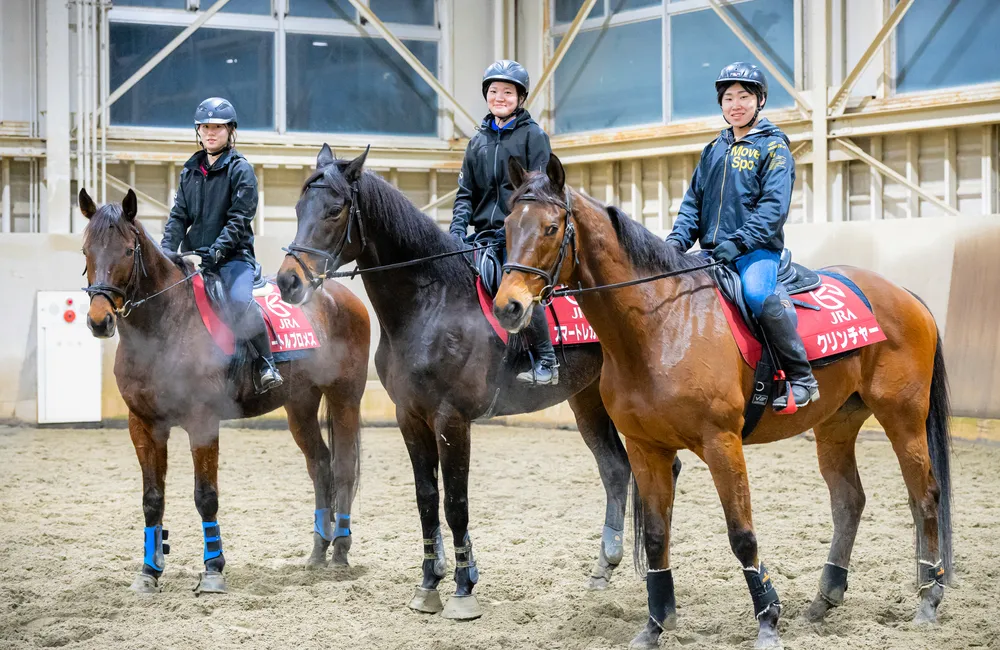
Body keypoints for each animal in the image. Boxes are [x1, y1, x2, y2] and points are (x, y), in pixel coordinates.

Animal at [80, 188, 371, 594]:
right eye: (86, 251)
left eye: (126, 251)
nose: (99, 320)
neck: (165, 325)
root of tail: (339, 294)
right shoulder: (144, 424)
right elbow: (152, 499)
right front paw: (149, 571)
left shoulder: (202, 422)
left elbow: (206, 496)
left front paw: (213, 570)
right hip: (300, 404)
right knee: (320, 465)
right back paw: (318, 550)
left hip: (345, 397)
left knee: (343, 465)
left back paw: (340, 550)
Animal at [273, 145, 654, 620]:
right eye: (298, 207)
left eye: (335, 209)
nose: (288, 281)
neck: (432, 304)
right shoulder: (410, 417)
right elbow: (426, 499)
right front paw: (428, 583)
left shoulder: (451, 420)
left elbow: (455, 503)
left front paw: (461, 589)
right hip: (586, 398)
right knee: (615, 469)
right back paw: (604, 568)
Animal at [492, 155, 953, 649]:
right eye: (507, 226)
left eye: (551, 228)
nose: (508, 306)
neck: (661, 326)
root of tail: (906, 297)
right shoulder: (646, 449)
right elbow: (655, 536)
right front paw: (655, 625)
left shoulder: (721, 443)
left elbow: (742, 535)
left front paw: (768, 621)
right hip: (836, 424)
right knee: (849, 501)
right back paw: (823, 601)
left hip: (902, 418)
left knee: (924, 495)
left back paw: (928, 598)